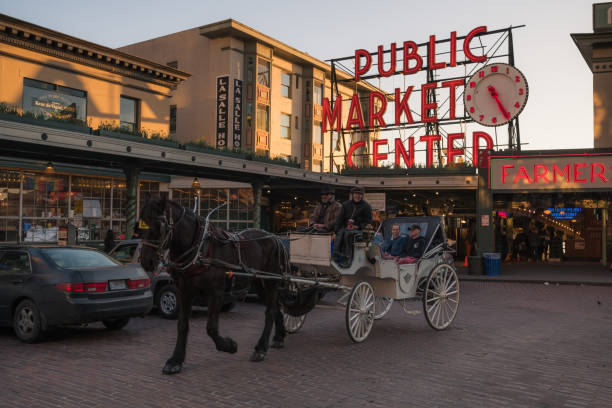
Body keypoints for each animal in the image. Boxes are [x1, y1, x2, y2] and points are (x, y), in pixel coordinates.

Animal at [140, 197, 292, 372]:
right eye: (140, 225)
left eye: (159, 225)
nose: (146, 261)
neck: (199, 249)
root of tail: (275, 238)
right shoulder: (184, 291)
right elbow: (182, 325)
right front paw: (175, 360)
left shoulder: (216, 292)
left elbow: (211, 328)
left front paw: (230, 346)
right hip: (259, 283)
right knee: (275, 309)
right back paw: (278, 337)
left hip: (272, 281)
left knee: (269, 312)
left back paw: (260, 348)